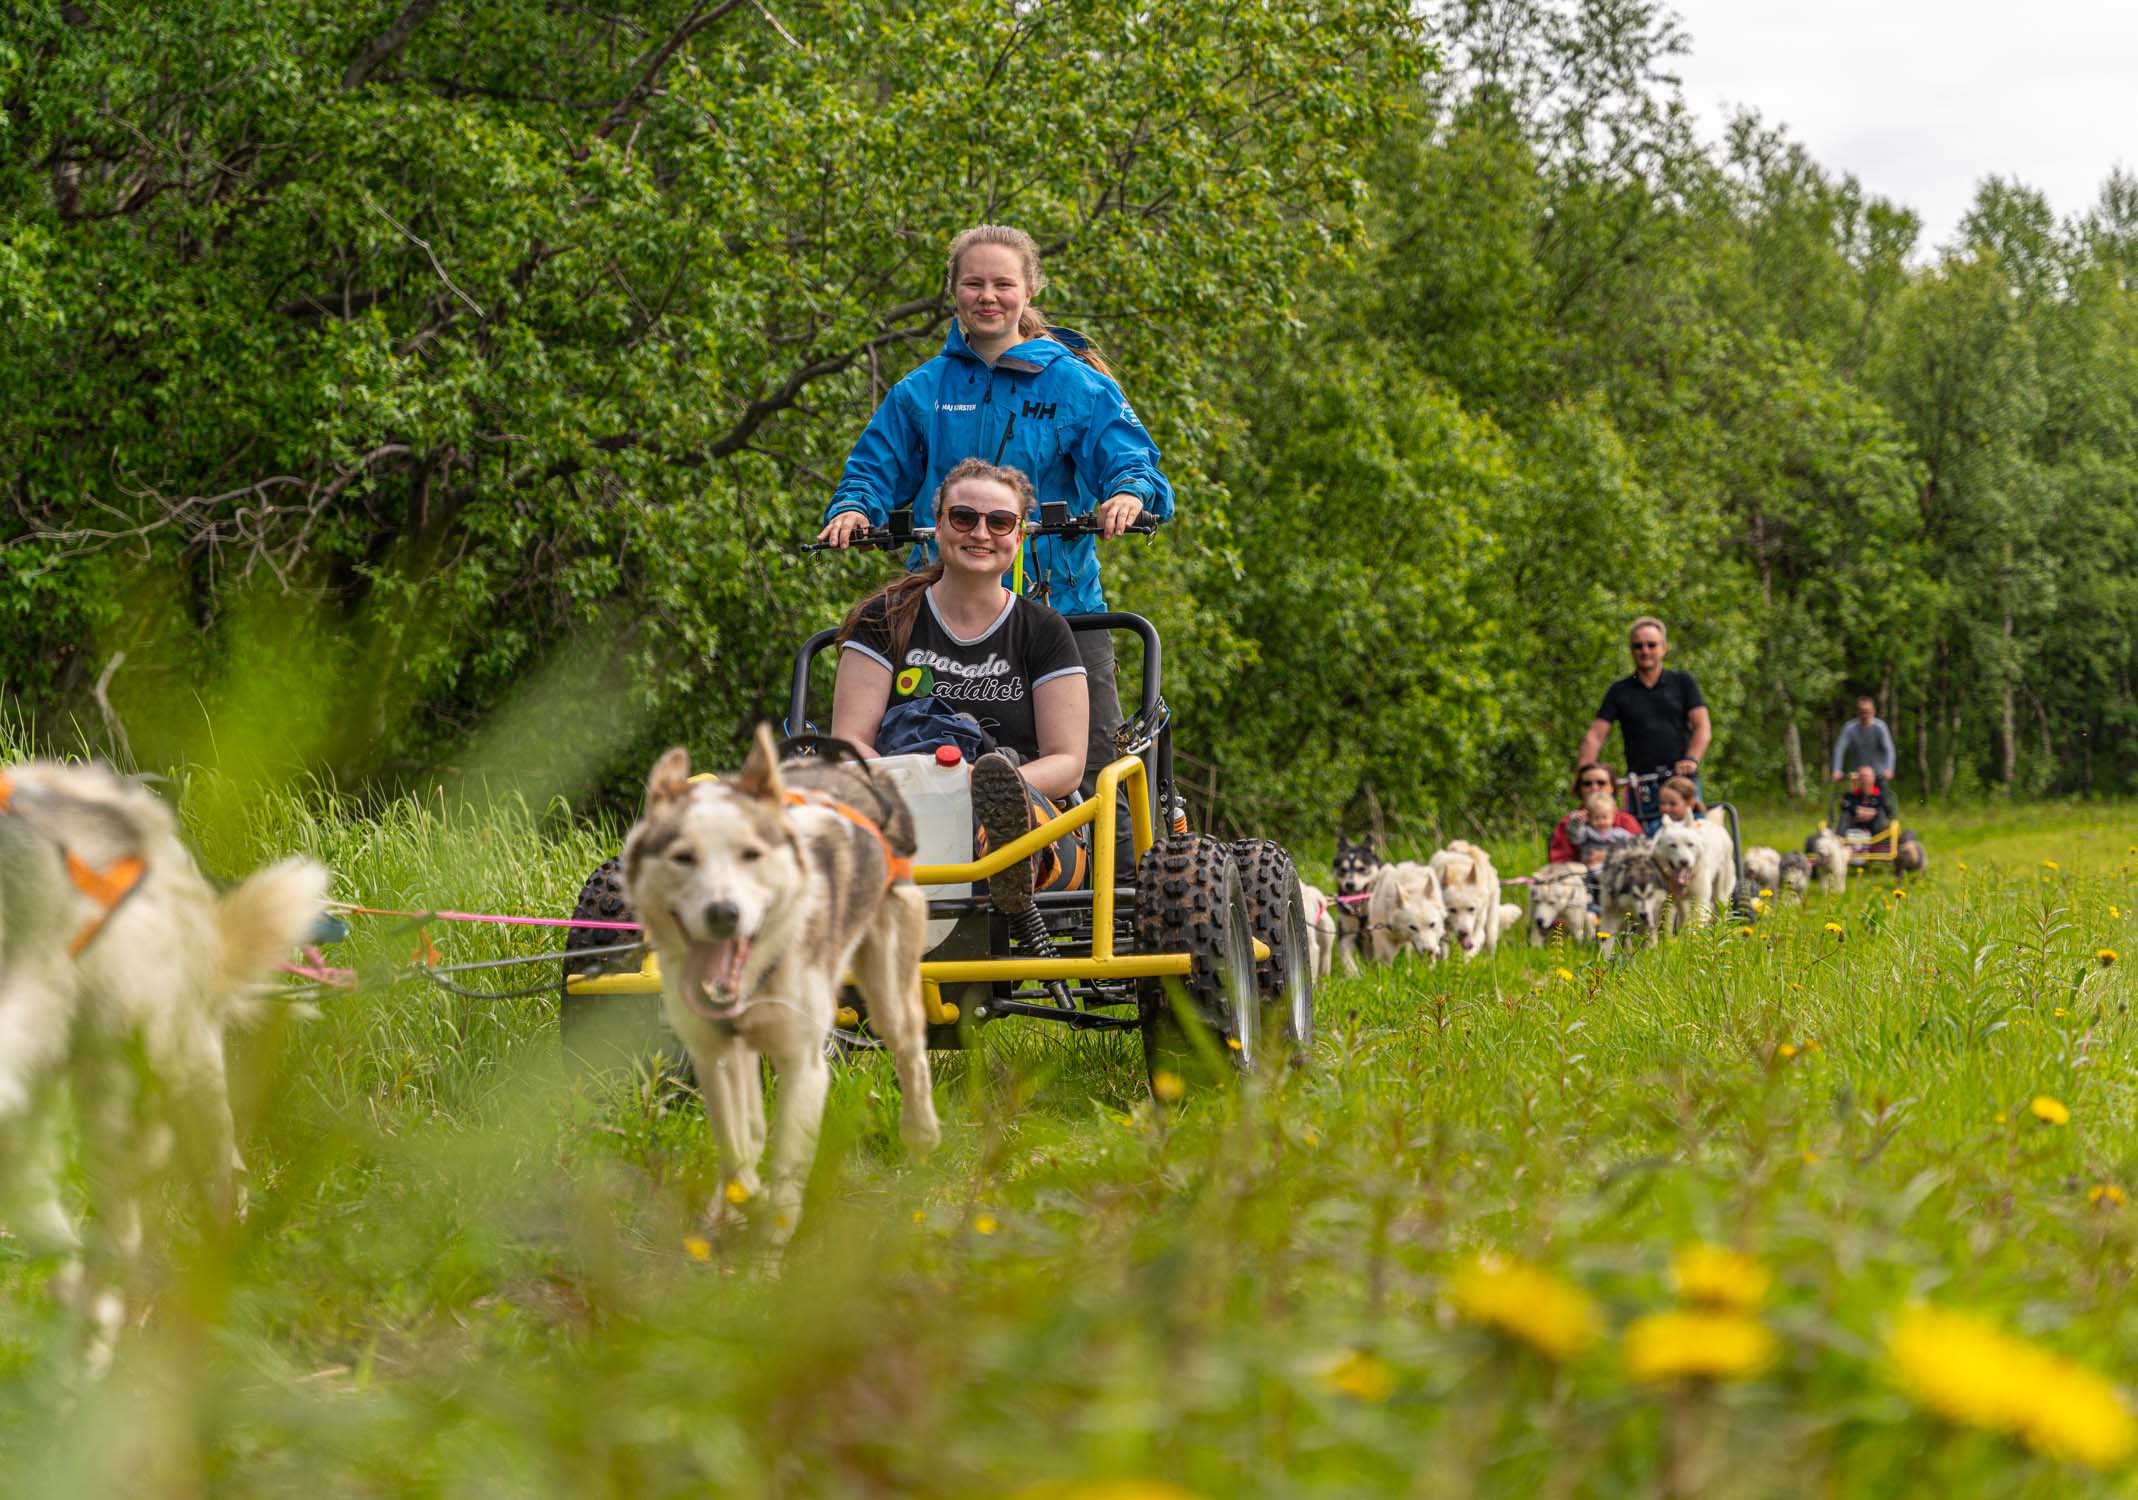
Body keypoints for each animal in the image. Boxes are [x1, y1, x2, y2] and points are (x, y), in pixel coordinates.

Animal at [624, 726, 944, 1247]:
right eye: (683, 857)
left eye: (751, 854)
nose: (724, 912)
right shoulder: (714, 1054)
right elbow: (739, 1149)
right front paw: (735, 1207)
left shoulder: (804, 1064)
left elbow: (785, 1185)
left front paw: (766, 1253)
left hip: (890, 995)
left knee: (911, 1054)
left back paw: (920, 1138)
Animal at [1334, 841, 1385, 982]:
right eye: (1343, 869)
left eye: (1361, 869)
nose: (1349, 884)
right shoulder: (1347, 931)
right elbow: (1346, 956)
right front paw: (1353, 976)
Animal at [1428, 833, 1513, 965]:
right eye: (1452, 910)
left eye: (1471, 909)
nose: (1463, 933)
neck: (1458, 873)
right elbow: (1443, 949)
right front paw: (1444, 966)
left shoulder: (1477, 931)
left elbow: (1468, 953)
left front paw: (1463, 967)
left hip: (1491, 929)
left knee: (1490, 946)